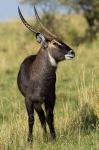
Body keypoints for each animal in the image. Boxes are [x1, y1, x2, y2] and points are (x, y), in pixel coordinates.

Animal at [17, 5, 75, 142]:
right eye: (54, 43)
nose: (72, 52)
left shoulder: (50, 98)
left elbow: (49, 117)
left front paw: (53, 138)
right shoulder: (29, 100)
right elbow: (31, 119)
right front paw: (30, 141)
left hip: (41, 102)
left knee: (43, 117)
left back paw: (46, 136)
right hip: (36, 103)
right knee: (40, 117)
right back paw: (43, 136)